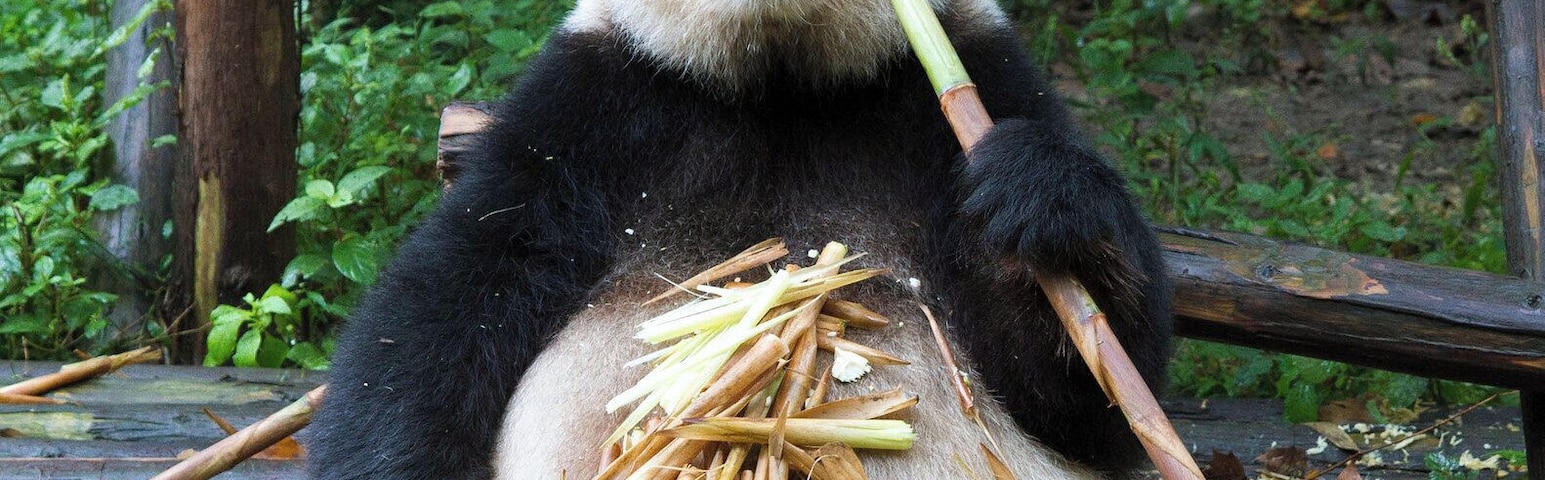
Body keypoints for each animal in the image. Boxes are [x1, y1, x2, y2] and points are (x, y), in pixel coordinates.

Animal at [307, 0, 1173, 478]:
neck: (777, 72)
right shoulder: (593, 105)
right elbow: (448, 304)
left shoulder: (962, 83)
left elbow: (1091, 403)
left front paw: (1042, 199)